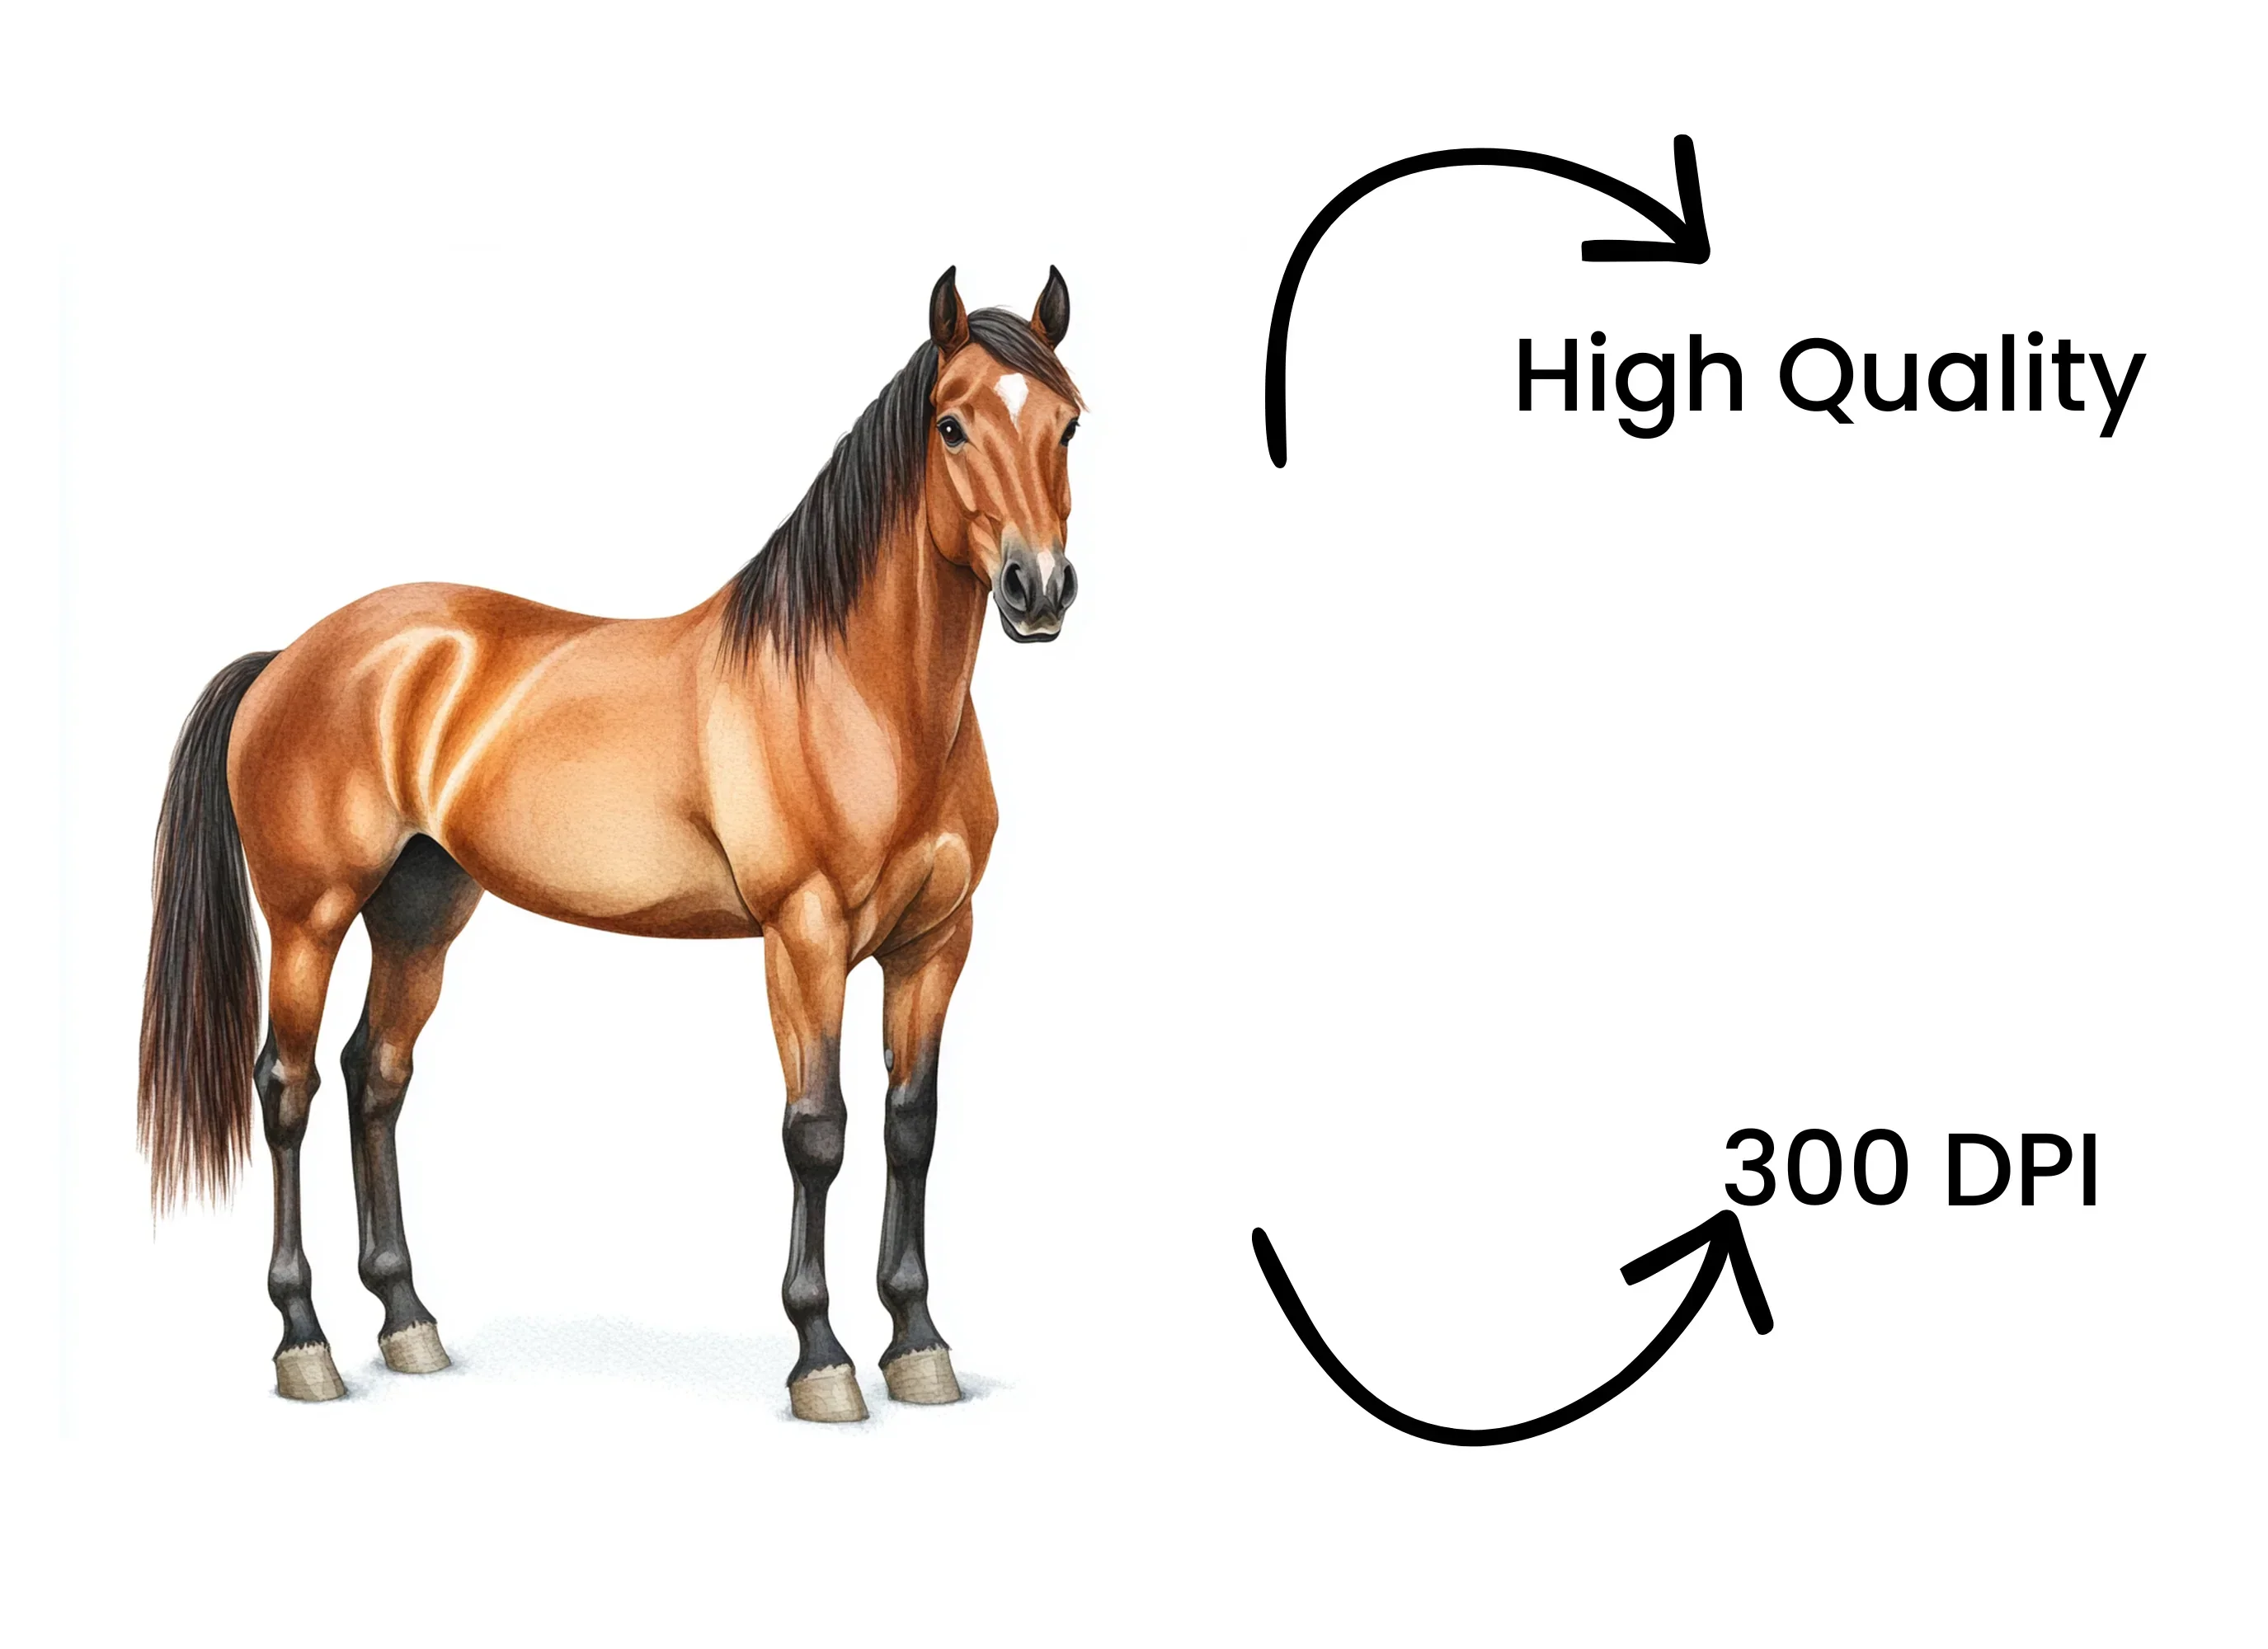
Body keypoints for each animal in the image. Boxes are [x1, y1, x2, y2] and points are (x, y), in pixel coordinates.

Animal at [137, 267, 1083, 1421]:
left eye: (1068, 423)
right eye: (951, 423)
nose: (1039, 589)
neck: (857, 692)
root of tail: (290, 657)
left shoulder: (935, 943)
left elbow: (912, 1126)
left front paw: (917, 1343)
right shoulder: (803, 939)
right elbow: (816, 1130)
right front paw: (820, 1356)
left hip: (419, 914)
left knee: (377, 1074)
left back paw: (407, 1322)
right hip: (307, 918)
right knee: (288, 1089)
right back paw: (304, 1340)